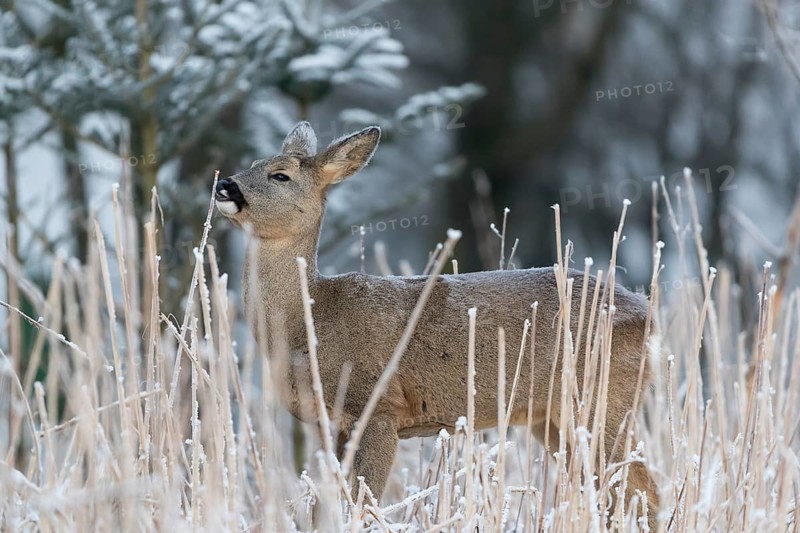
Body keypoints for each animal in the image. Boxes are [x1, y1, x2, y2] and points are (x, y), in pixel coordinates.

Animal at [215, 121, 660, 529]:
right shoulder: (333, 424)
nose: (225, 184)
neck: (307, 319)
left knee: (645, 491)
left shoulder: (379, 405)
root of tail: (648, 317)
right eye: (252, 164)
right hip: (552, 417)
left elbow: (363, 504)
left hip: (603, 397)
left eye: (280, 175)